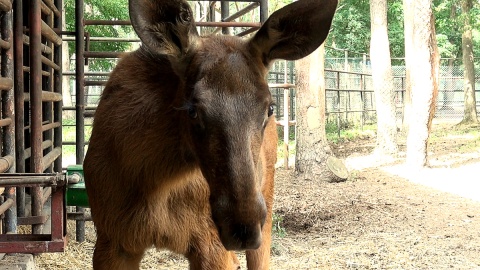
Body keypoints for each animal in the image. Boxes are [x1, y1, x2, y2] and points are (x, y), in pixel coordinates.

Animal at [83, 0, 338, 268]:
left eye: (270, 108)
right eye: (192, 109)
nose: (242, 227)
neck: (156, 183)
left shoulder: (211, 245)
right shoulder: (112, 239)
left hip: (266, 202)